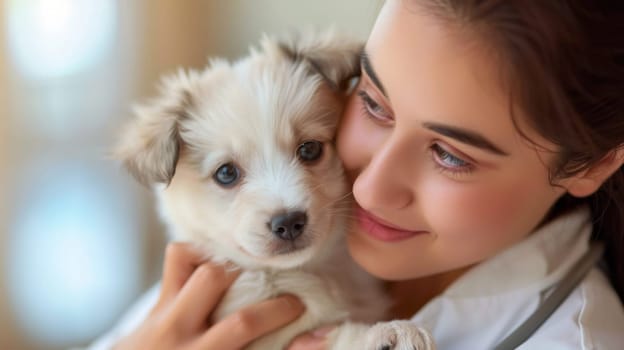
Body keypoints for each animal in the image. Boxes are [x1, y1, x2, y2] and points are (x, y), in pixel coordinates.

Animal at [116, 30, 434, 350]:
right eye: (226, 173)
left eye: (309, 149)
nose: (289, 223)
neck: (307, 272)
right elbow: (335, 335)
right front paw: (388, 333)